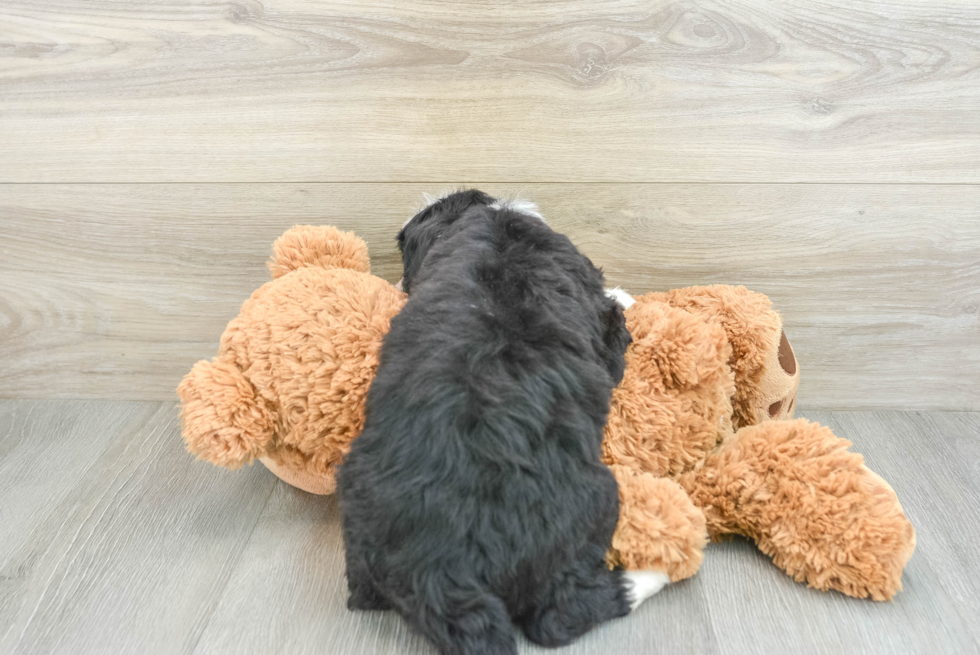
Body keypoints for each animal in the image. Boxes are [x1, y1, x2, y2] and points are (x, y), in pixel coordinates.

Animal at [340, 191, 636, 655]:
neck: (494, 218)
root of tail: (440, 565)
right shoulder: (606, 329)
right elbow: (616, 326)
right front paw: (625, 294)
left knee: (363, 594)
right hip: (596, 501)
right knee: (559, 616)